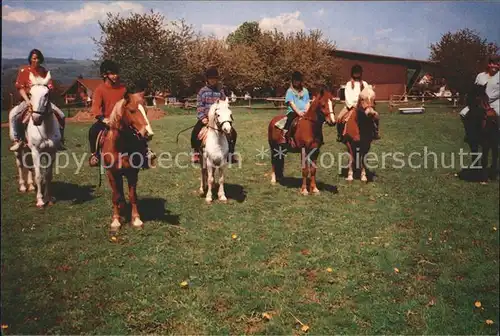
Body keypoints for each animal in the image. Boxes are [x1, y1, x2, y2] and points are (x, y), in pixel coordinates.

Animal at [10, 71, 61, 207]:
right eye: (30, 94)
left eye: (47, 94)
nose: (36, 119)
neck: (45, 129)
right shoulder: (36, 151)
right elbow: (38, 176)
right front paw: (40, 200)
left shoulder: (51, 152)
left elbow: (47, 175)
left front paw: (49, 198)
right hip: (19, 148)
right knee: (20, 164)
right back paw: (23, 186)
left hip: (28, 148)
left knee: (28, 164)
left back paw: (31, 186)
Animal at [100, 86, 155, 231]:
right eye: (131, 110)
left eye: (146, 110)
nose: (148, 134)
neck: (121, 146)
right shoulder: (112, 173)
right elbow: (115, 196)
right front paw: (116, 221)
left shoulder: (132, 173)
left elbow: (132, 196)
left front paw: (136, 219)